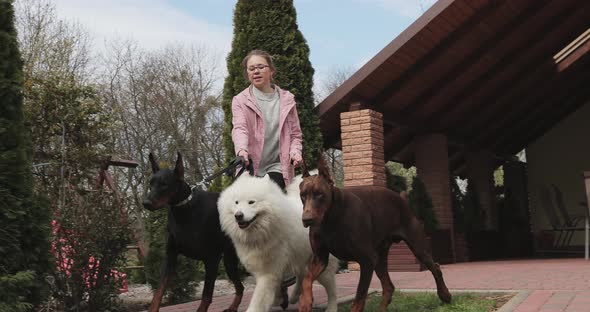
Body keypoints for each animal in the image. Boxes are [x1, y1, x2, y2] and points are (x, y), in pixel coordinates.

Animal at [217, 174, 338, 312]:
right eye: (236, 202)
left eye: (251, 202)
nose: (238, 215)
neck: (262, 232)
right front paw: (278, 299)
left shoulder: (268, 271)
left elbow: (259, 297)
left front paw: (255, 308)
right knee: (303, 276)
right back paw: (295, 296)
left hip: (323, 267)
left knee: (331, 290)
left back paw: (331, 308)